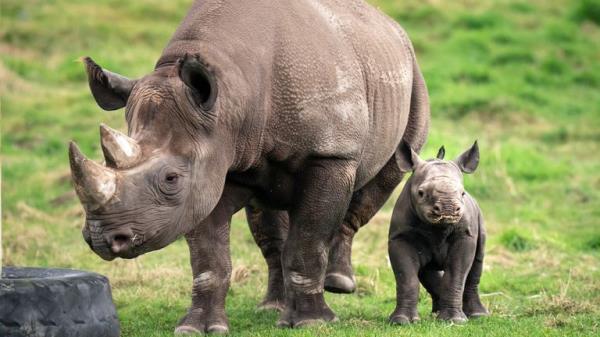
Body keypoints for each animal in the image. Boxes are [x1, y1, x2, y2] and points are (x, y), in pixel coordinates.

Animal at [68, 0, 428, 330]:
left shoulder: (330, 154)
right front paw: (197, 327)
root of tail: (389, 23)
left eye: (171, 179)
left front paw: (312, 323)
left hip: (411, 82)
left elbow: (309, 240)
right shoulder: (211, 163)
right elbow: (208, 257)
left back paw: (337, 284)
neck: (231, 97)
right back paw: (272, 308)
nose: (101, 239)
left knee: (381, 180)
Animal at [390, 140, 488, 322]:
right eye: (421, 193)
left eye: (462, 193)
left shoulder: (464, 235)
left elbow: (456, 274)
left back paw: (477, 315)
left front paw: (454, 321)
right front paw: (401, 321)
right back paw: (436, 313)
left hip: (479, 217)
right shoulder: (400, 237)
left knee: (476, 263)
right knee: (426, 270)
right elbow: (406, 277)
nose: (447, 210)